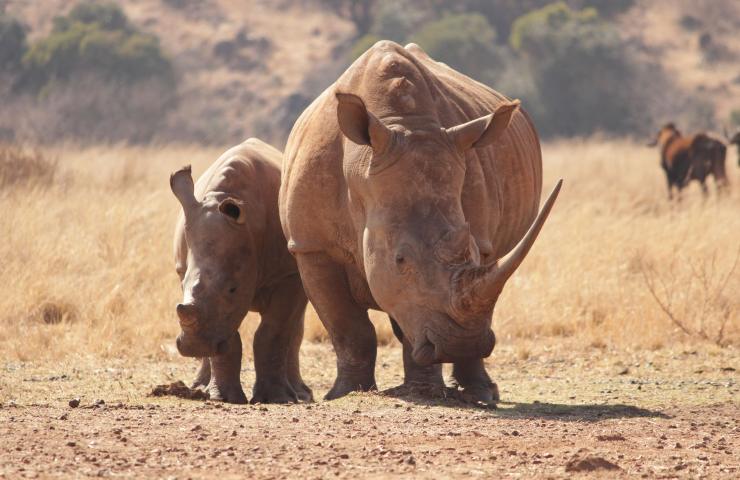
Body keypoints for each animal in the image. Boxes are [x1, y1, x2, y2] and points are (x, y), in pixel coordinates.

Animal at [171, 137, 312, 404]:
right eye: (181, 283)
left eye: (233, 289)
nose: (194, 347)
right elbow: (228, 334)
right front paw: (223, 398)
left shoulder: (288, 275)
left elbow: (273, 331)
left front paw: (277, 398)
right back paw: (200, 387)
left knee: (294, 326)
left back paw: (301, 394)